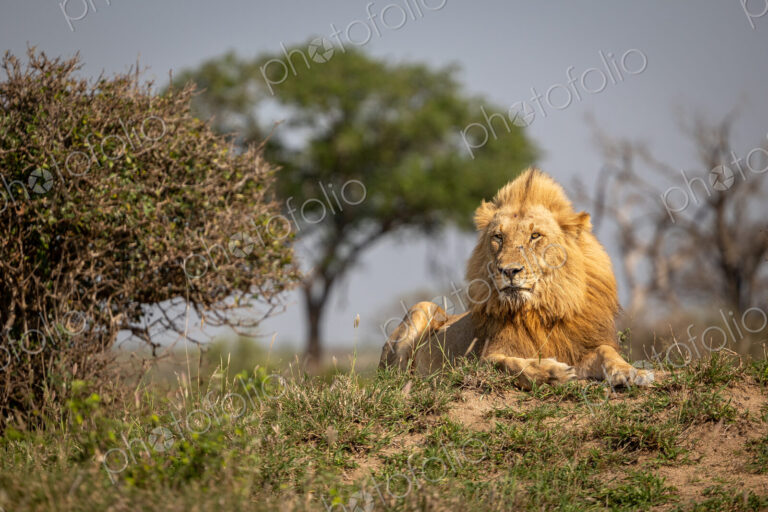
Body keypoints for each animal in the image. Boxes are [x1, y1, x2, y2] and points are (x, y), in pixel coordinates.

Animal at [379, 168, 653, 389]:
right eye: (498, 237)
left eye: (535, 236)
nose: (509, 271)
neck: (541, 309)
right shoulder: (483, 358)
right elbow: (510, 364)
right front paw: (551, 373)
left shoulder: (581, 347)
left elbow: (607, 353)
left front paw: (633, 372)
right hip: (422, 310)